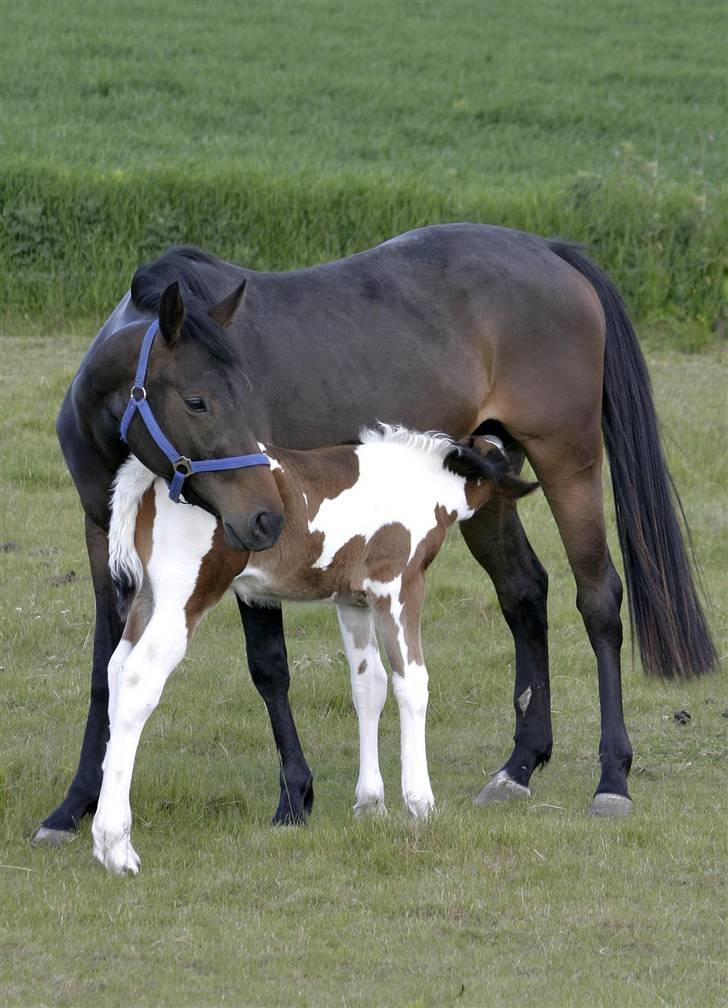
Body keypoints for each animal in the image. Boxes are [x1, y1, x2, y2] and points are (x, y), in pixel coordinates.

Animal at [94, 425, 532, 874]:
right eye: (503, 461)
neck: (419, 482)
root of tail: (152, 475)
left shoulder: (353, 601)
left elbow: (369, 686)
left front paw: (371, 804)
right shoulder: (397, 586)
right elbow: (411, 681)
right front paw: (420, 803)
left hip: (147, 598)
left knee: (115, 670)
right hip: (184, 597)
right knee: (138, 681)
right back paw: (115, 847)